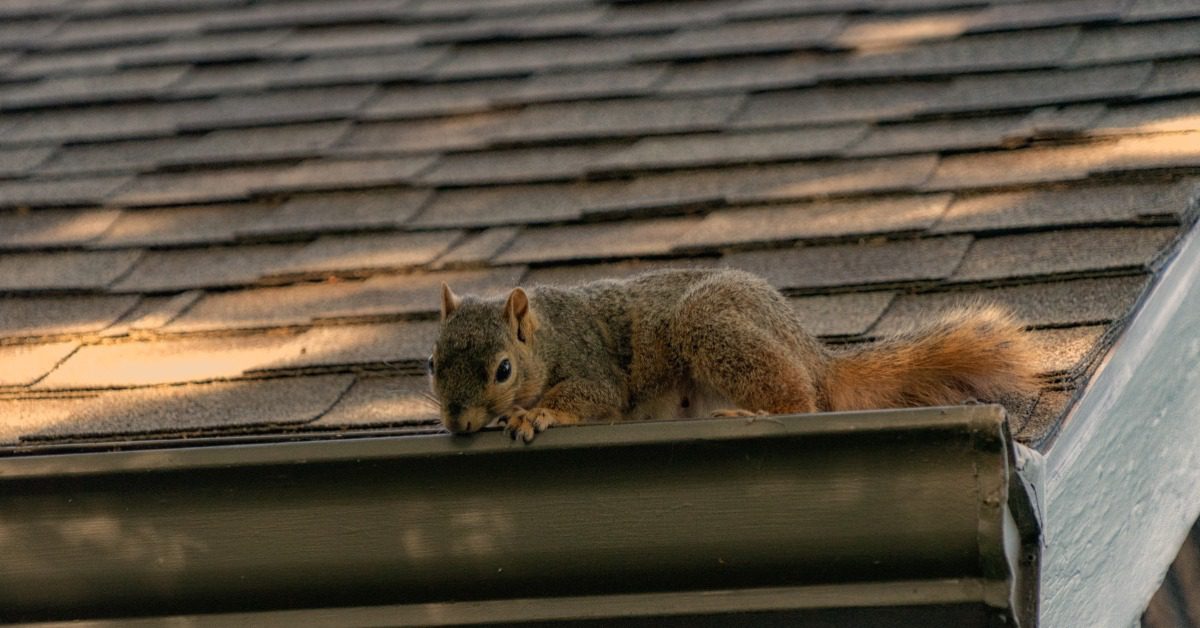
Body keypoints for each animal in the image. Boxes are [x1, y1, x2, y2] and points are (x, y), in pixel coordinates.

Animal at [429, 268, 1038, 443]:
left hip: (711, 325)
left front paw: (533, 413)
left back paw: (755, 412)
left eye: (503, 370)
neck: (548, 335)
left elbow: (593, 396)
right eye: (433, 363)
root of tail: (814, 354)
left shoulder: (591, 364)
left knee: (799, 403)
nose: (457, 423)